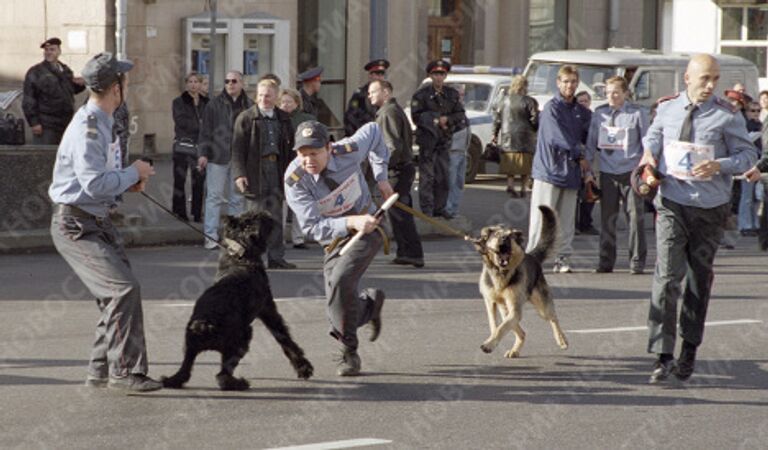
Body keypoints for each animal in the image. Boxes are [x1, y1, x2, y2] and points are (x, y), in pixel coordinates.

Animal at [164, 211, 314, 390]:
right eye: (255, 218)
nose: (267, 214)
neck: (241, 257)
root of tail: (204, 325)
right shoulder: (268, 310)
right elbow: (285, 339)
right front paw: (304, 367)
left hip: (190, 348)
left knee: (184, 371)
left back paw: (172, 380)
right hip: (242, 338)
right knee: (222, 375)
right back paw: (239, 383)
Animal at [468, 207, 568, 358]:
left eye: (510, 236)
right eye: (496, 234)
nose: (504, 238)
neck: (501, 274)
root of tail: (531, 256)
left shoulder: (515, 308)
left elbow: (501, 328)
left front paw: (489, 345)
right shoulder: (491, 303)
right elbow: (495, 325)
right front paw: (491, 341)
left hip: (542, 307)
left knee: (553, 318)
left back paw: (561, 339)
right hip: (505, 309)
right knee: (521, 332)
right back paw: (514, 350)